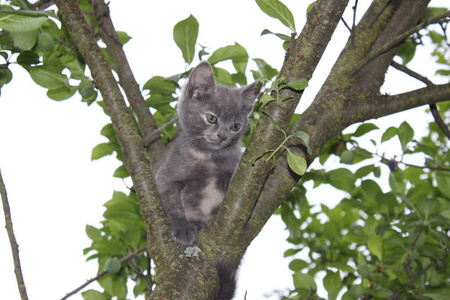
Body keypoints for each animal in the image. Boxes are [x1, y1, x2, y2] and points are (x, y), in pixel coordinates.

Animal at [156, 61, 260, 246]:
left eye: (235, 126)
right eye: (211, 118)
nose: (222, 136)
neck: (208, 157)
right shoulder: (166, 175)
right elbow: (171, 201)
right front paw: (183, 228)